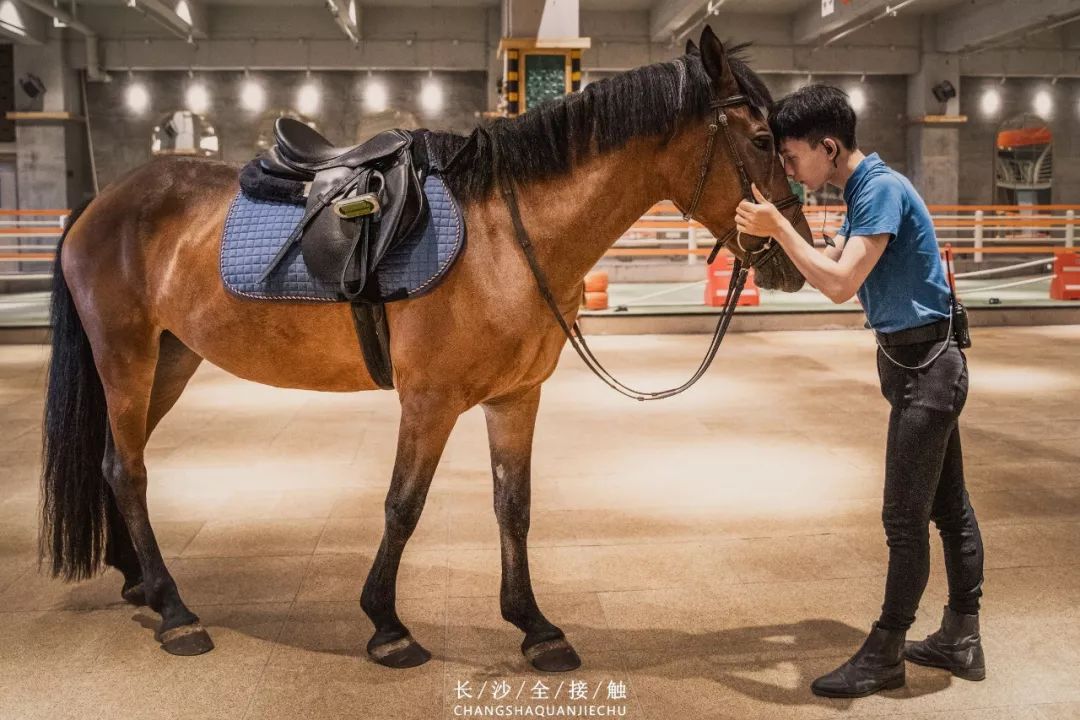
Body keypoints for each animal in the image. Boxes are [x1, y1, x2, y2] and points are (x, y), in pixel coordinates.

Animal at [40, 26, 813, 673]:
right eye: (763, 137)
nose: (792, 258)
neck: (508, 237)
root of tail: (102, 201)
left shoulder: (516, 399)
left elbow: (514, 506)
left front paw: (535, 627)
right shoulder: (431, 402)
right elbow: (402, 506)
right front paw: (387, 626)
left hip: (170, 360)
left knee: (115, 463)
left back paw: (140, 583)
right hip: (127, 357)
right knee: (130, 471)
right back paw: (176, 610)